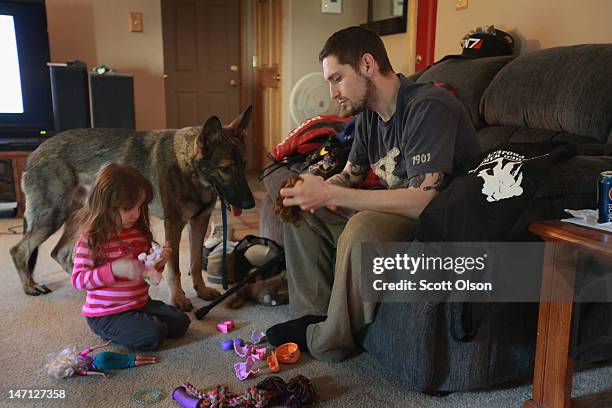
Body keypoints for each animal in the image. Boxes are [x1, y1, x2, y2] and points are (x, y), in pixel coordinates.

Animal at [10, 107, 253, 310]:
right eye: (226, 169)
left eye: (244, 165)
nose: (250, 204)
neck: (188, 166)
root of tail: (33, 152)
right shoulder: (174, 225)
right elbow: (174, 268)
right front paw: (178, 298)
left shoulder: (199, 222)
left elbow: (193, 262)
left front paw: (200, 290)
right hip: (52, 216)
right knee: (19, 250)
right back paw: (30, 287)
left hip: (77, 216)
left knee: (59, 252)